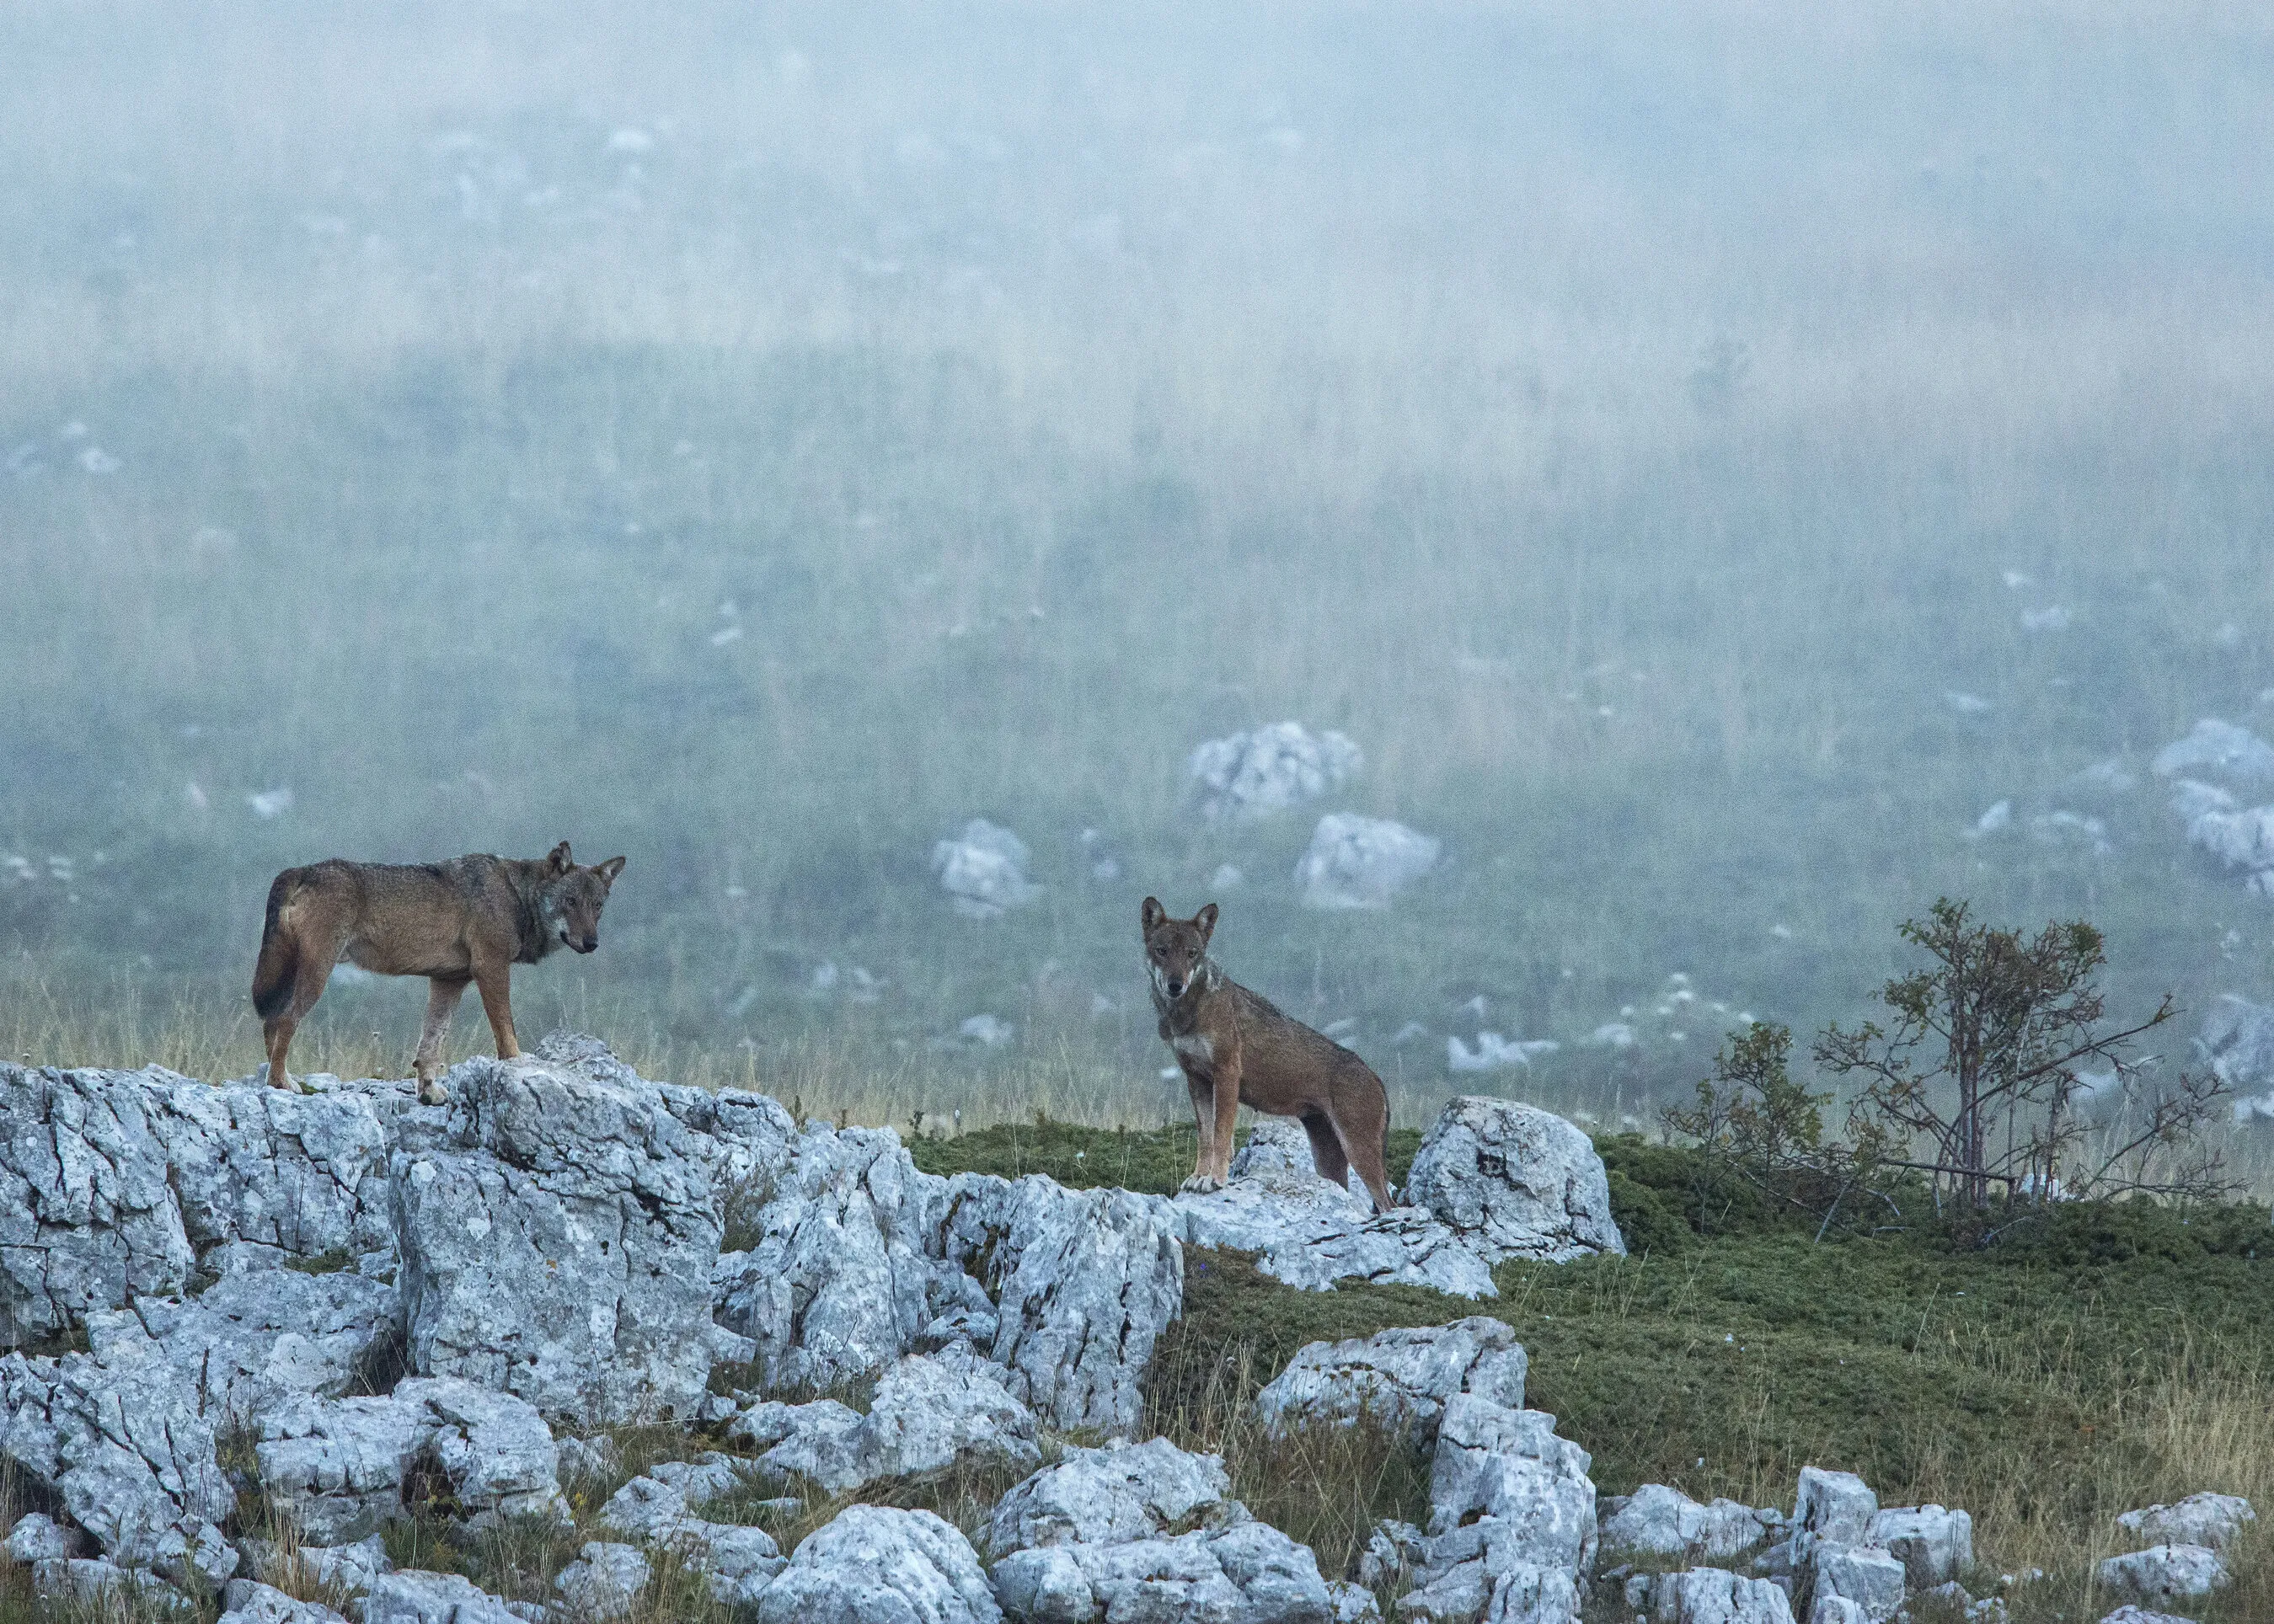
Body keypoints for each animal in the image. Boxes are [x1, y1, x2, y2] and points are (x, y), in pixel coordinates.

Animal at [251, 842, 625, 1102]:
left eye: (597, 906)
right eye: (570, 901)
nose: (592, 943)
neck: (517, 896)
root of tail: (302, 869)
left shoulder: (449, 981)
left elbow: (431, 1045)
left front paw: (429, 1093)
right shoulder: (490, 968)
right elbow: (506, 1033)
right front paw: (516, 1064)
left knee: (271, 1022)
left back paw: (276, 1078)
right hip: (317, 975)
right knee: (283, 1020)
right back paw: (280, 1081)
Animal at [1141, 896, 1394, 1212]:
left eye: (1192, 954)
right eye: (1162, 951)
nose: (1175, 985)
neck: (1188, 1014)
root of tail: (1377, 1079)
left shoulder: (1227, 1073)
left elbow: (1221, 1134)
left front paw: (1215, 1180)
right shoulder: (1195, 1079)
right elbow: (1205, 1137)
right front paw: (1198, 1177)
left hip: (1359, 1154)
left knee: (1390, 1205)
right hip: (1328, 1162)